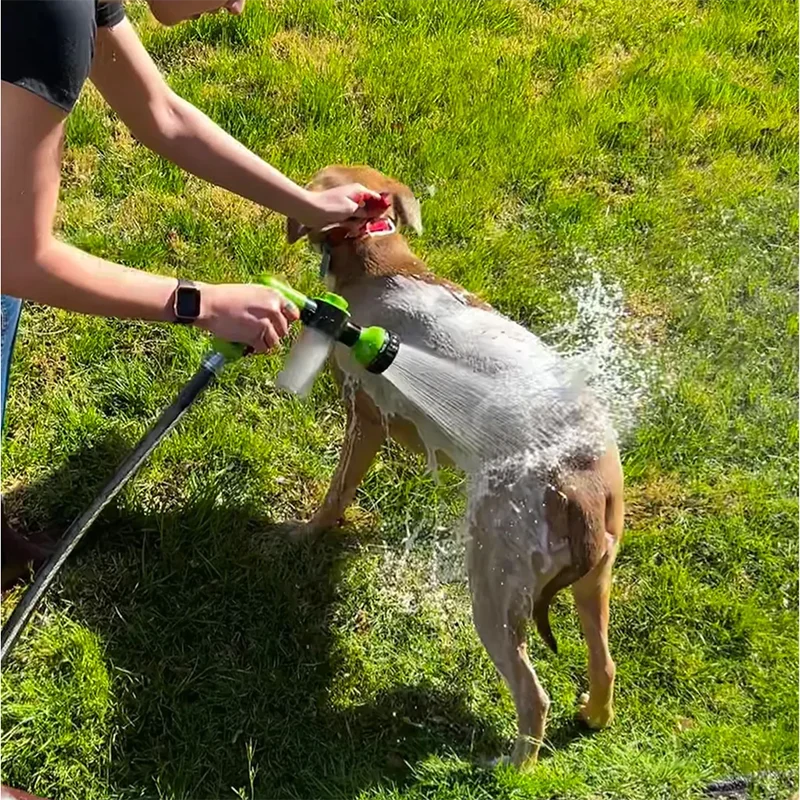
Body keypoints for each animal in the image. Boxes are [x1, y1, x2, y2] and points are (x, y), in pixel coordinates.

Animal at [288, 164, 624, 768]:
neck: (382, 263)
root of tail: (581, 488)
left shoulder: (364, 419)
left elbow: (335, 495)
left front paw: (303, 534)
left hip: (494, 589)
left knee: (533, 695)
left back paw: (512, 768)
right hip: (595, 579)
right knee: (604, 663)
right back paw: (592, 715)